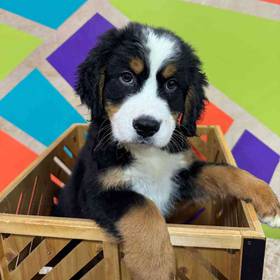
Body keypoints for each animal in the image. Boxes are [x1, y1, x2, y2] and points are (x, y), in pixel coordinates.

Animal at [55, 23, 280, 278]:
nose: (146, 126)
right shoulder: (98, 192)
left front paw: (267, 199)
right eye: (126, 77)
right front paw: (155, 268)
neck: (147, 153)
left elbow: (224, 171)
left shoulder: (182, 174)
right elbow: (144, 208)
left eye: (171, 84)